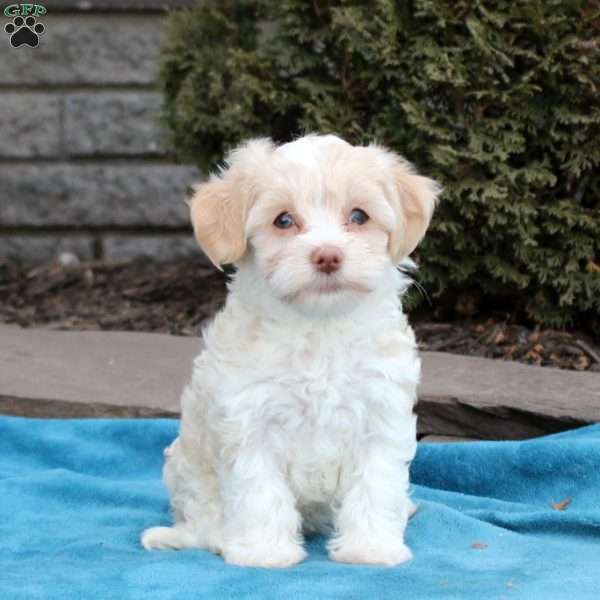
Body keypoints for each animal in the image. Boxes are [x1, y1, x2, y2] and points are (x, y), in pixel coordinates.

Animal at [141, 135, 440, 568]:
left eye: (359, 216)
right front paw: (265, 553)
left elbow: (375, 485)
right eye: (283, 221)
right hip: (190, 474)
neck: (319, 326)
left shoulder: (380, 415)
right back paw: (218, 538)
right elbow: (259, 493)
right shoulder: (250, 422)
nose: (328, 255)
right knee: (204, 520)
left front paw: (371, 549)